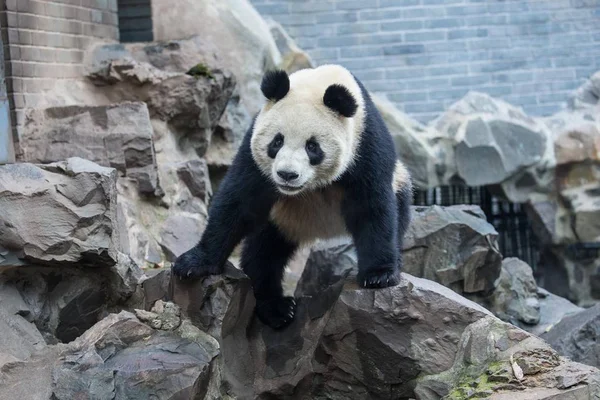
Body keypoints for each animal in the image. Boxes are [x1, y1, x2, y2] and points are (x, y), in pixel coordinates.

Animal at [173, 65, 412, 328]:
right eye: (277, 141)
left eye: (312, 146)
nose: (287, 175)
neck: (320, 82)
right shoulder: (254, 153)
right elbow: (239, 202)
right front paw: (194, 263)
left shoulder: (365, 144)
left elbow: (371, 207)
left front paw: (378, 275)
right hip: (281, 219)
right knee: (264, 252)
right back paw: (276, 308)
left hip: (399, 182)